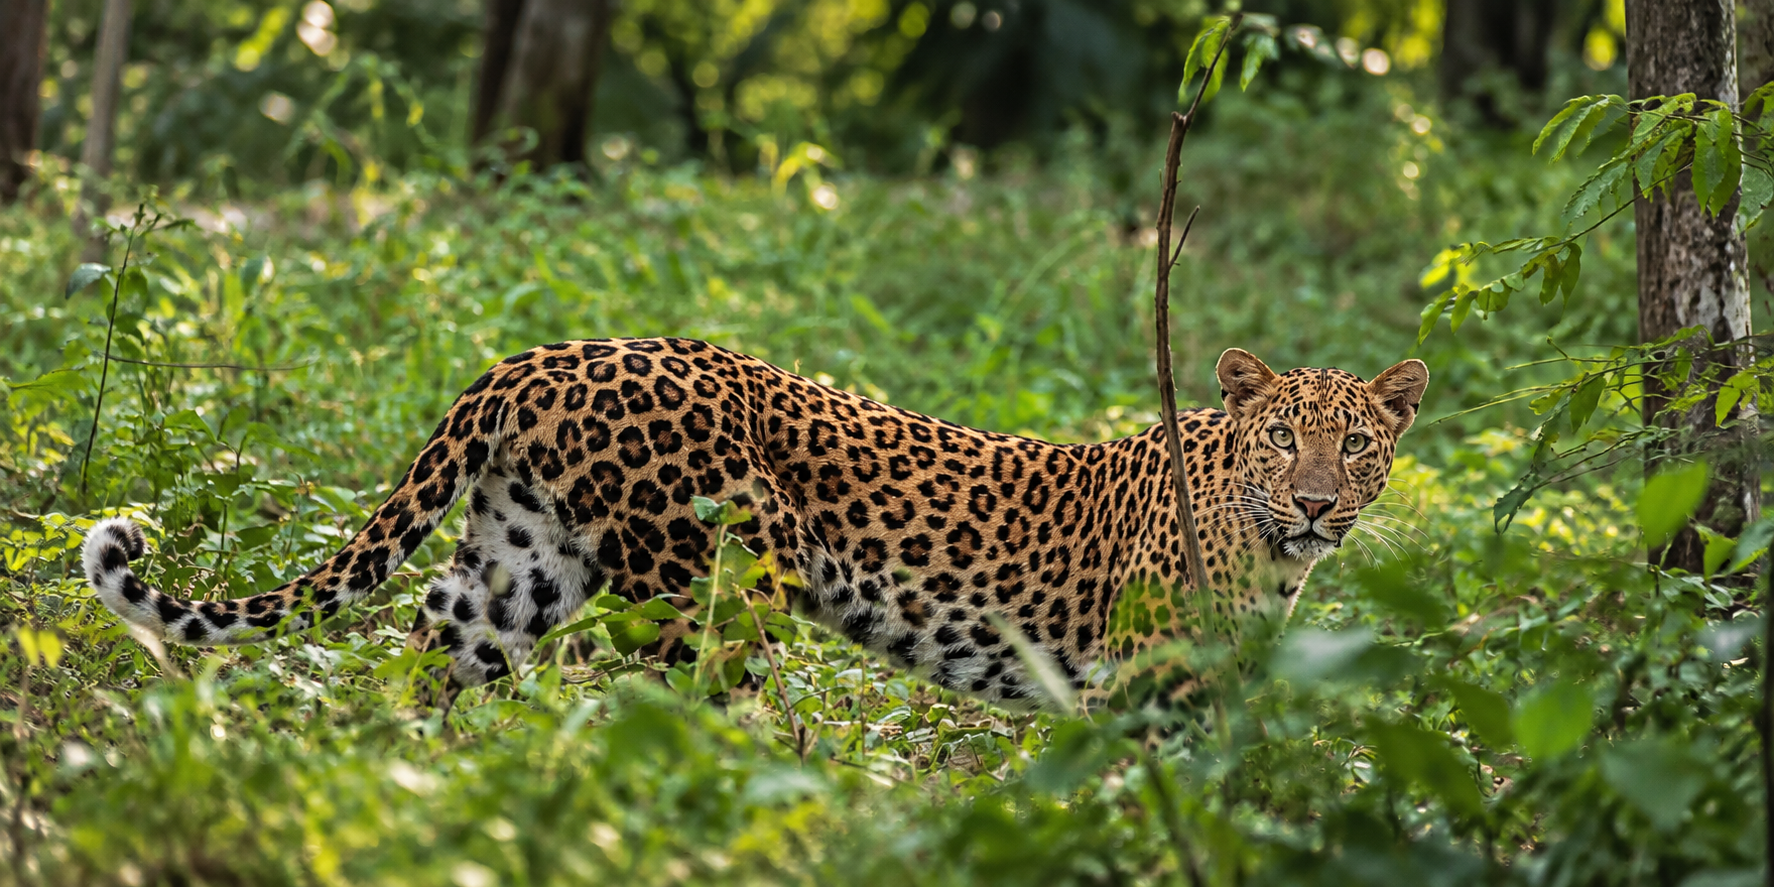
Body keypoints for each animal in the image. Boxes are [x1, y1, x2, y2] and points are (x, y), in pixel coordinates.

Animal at [83, 338, 1428, 710]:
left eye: (1357, 445)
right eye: (1281, 439)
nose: (1317, 500)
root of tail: (535, 359)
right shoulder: (1139, 686)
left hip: (512, 569)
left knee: (429, 666)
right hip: (711, 580)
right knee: (646, 705)